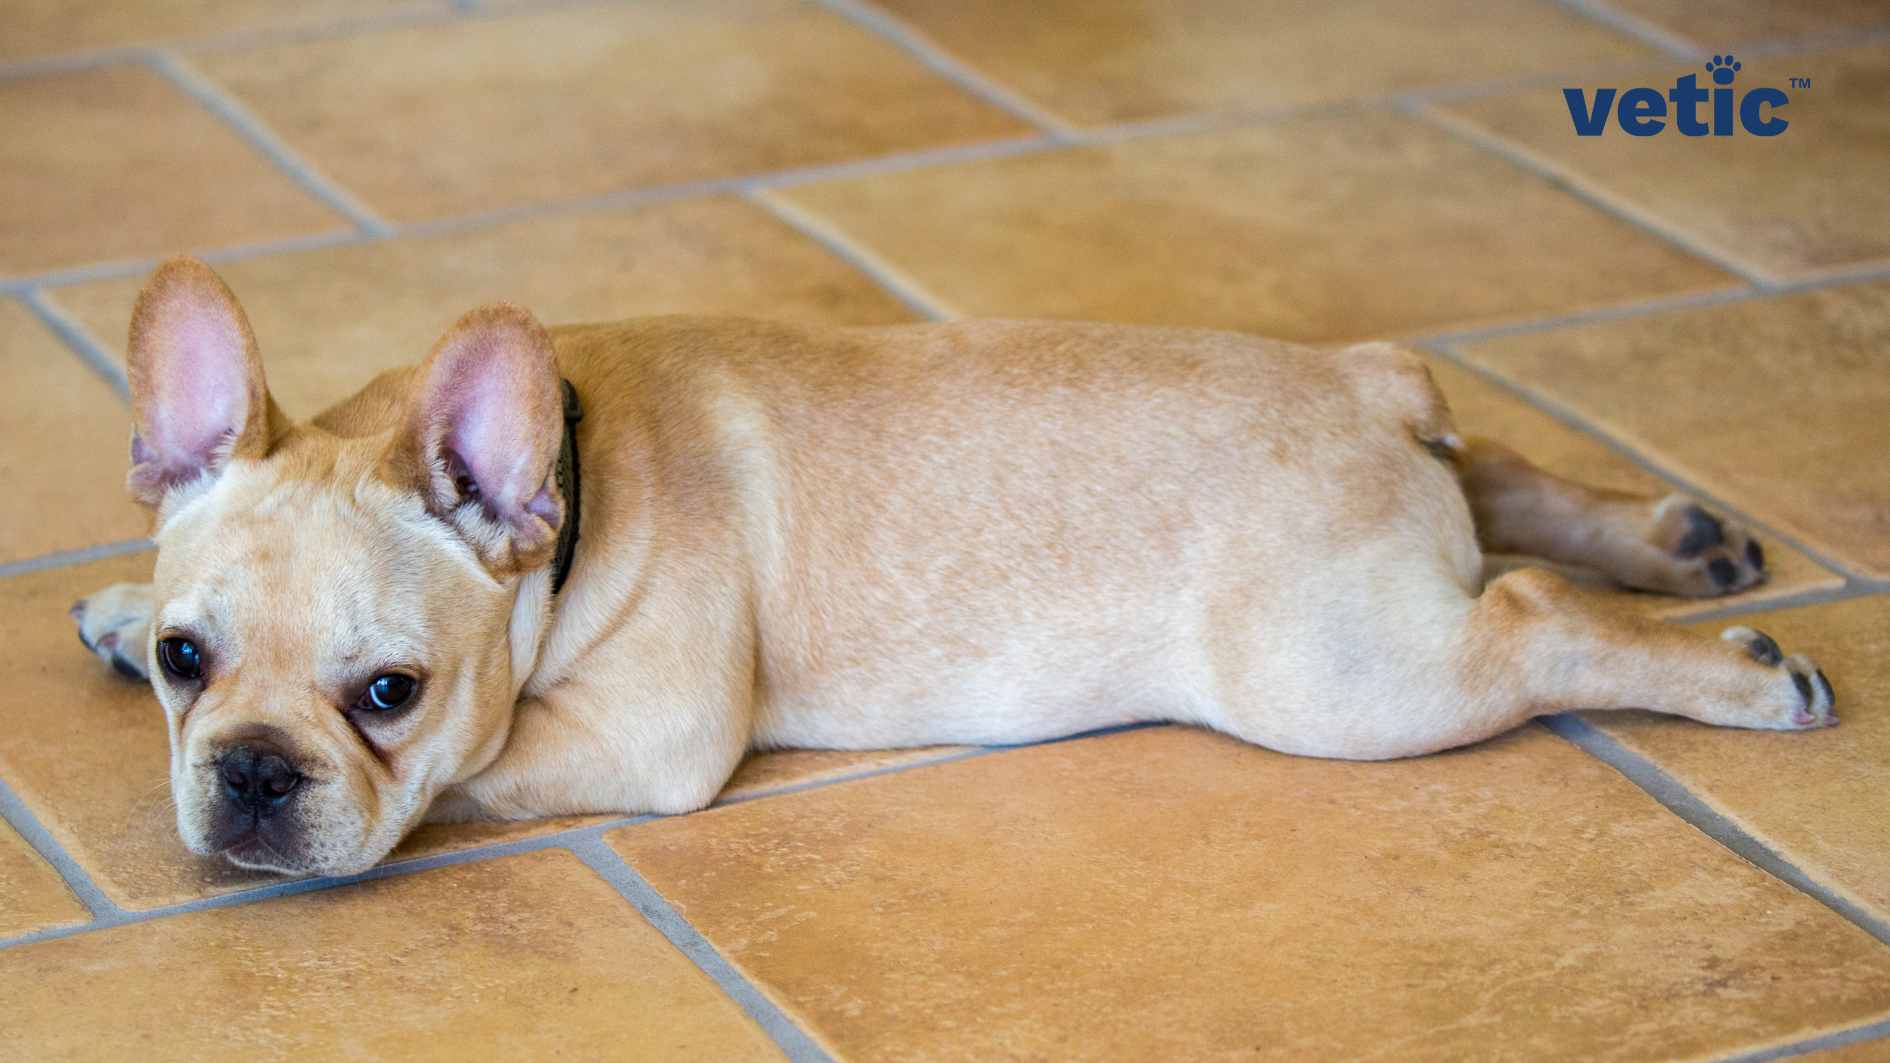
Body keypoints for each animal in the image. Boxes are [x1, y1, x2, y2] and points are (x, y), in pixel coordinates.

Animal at [69, 255, 1829, 870]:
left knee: (1528, 611)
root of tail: (1365, 388)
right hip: (1409, 536)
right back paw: (1674, 536)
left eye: (389, 692)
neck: (575, 491)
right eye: (187, 663)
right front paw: (109, 601)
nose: (246, 774)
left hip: (1342, 676)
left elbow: (477, 768)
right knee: (1508, 478)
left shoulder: (638, 735)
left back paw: (1741, 675)